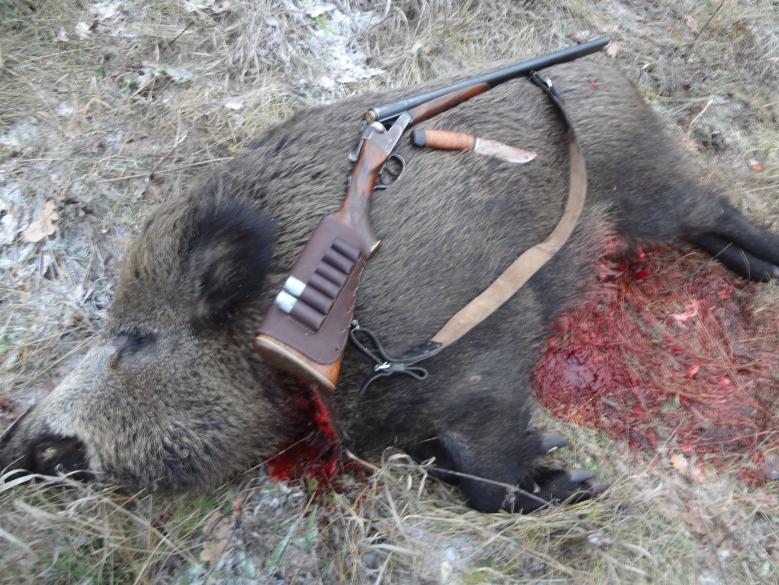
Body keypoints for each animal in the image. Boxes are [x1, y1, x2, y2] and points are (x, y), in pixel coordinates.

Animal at [1, 58, 777, 513]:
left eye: (135, 342)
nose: (18, 443)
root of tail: (611, 73)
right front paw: (566, 476)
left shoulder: (481, 351)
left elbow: (484, 468)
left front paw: (575, 482)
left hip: (647, 184)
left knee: (713, 207)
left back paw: (765, 266)